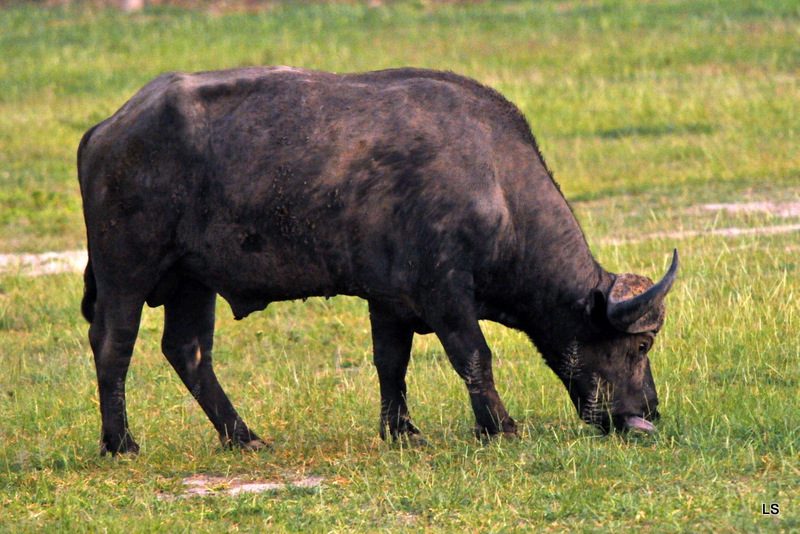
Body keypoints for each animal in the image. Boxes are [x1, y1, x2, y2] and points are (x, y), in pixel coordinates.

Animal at [78, 65, 680, 454]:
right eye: (642, 345)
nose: (648, 409)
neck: (495, 184)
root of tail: (106, 129)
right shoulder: (444, 292)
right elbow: (474, 356)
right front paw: (499, 426)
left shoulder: (390, 299)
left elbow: (391, 362)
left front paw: (401, 432)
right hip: (126, 272)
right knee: (113, 345)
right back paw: (121, 442)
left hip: (191, 280)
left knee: (188, 351)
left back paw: (242, 437)